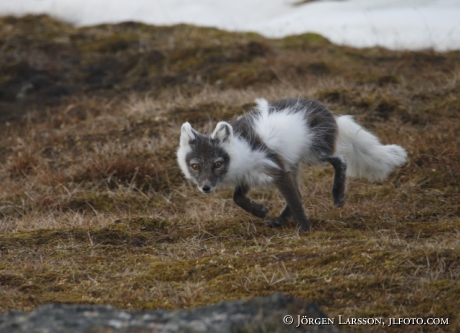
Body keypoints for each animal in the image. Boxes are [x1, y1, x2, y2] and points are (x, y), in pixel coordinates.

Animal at [176, 96, 406, 231]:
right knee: (300, 191)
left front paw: (305, 229)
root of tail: (331, 114)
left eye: (217, 164)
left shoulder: (276, 168)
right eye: (195, 165)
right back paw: (279, 220)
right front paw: (260, 211)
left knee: (340, 160)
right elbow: (237, 198)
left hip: (315, 152)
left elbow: (294, 201)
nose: (206, 188)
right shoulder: (249, 175)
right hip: (295, 162)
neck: (240, 152)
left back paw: (338, 195)